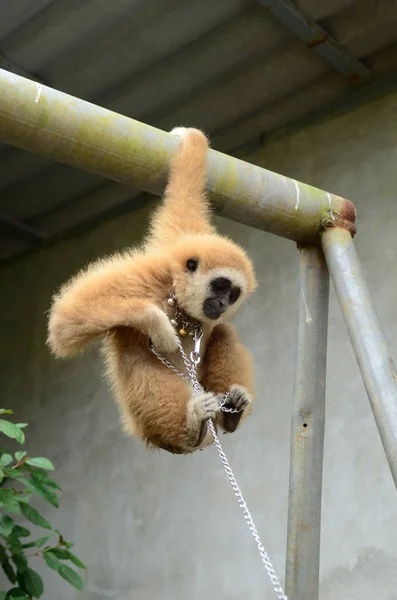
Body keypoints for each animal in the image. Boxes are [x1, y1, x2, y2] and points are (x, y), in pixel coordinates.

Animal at [47, 127, 256, 454]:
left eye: (233, 294)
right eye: (220, 285)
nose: (223, 303)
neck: (176, 298)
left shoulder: (185, 237)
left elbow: (185, 195)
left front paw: (191, 141)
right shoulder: (147, 276)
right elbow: (65, 321)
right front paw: (157, 324)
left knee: (224, 331)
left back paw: (230, 414)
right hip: (149, 425)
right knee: (135, 356)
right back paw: (190, 427)